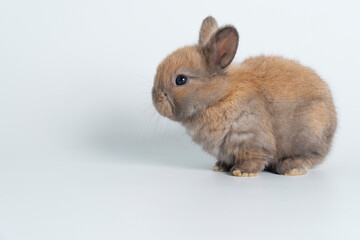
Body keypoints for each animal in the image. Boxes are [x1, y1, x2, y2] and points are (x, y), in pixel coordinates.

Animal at [150, 15, 336, 176]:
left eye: (181, 79)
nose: (155, 97)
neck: (220, 97)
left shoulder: (251, 138)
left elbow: (253, 158)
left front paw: (242, 172)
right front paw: (220, 167)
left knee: (309, 157)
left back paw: (291, 168)